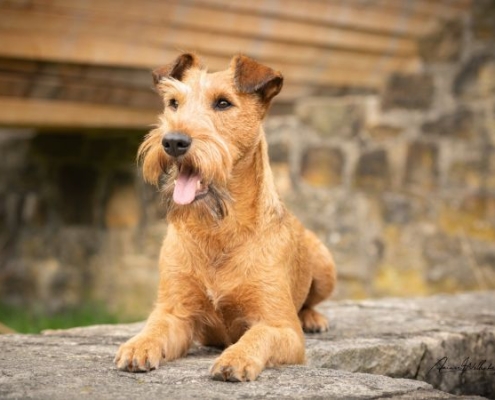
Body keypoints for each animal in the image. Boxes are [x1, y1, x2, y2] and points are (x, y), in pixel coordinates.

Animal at [114, 53, 336, 382]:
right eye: (173, 103)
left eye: (223, 103)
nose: (173, 142)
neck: (218, 229)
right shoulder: (176, 312)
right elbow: (155, 327)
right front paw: (138, 345)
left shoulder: (281, 327)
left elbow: (259, 335)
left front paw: (237, 358)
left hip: (324, 264)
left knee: (310, 302)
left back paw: (313, 318)